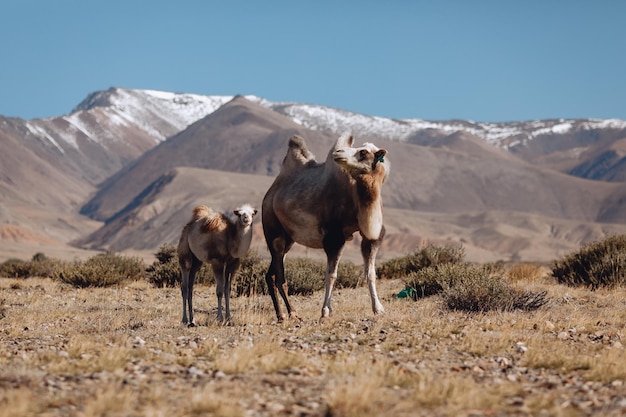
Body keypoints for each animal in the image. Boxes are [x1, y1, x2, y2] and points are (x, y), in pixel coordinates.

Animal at [260, 132, 388, 320]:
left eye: (363, 152)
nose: (338, 153)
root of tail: (269, 195)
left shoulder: (372, 236)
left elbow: (370, 272)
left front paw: (378, 309)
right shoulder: (334, 238)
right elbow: (331, 275)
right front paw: (325, 311)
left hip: (288, 238)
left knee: (271, 274)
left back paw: (281, 315)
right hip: (273, 230)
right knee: (279, 275)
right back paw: (292, 313)